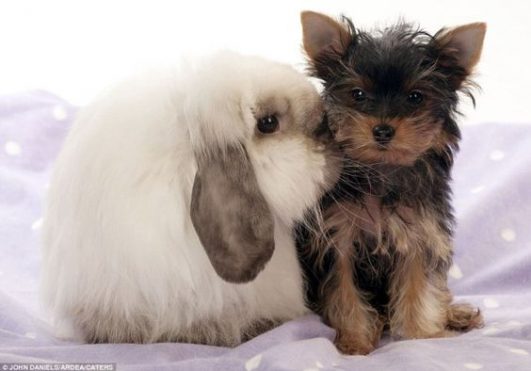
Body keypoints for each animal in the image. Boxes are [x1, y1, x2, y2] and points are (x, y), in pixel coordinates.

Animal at [298, 10, 488, 354]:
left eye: (415, 97)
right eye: (358, 94)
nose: (383, 130)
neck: (382, 169)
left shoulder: (420, 233)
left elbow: (419, 286)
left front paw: (421, 335)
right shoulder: (337, 239)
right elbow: (343, 292)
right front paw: (355, 341)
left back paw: (455, 314)